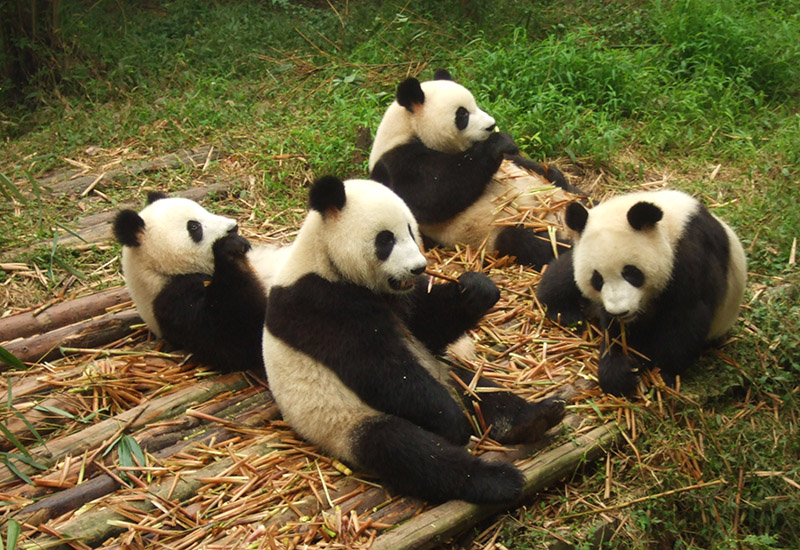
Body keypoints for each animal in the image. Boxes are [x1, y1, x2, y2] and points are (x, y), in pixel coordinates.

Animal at [113, 192, 286, 373]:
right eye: (194, 227)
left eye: (205, 211)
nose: (233, 227)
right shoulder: (173, 304)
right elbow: (237, 336)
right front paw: (229, 248)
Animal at [263, 175, 565, 504]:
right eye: (385, 240)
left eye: (410, 229)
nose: (419, 267)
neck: (324, 257)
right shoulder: (322, 304)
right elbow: (381, 368)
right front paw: (454, 422)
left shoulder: (400, 299)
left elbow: (428, 326)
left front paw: (476, 289)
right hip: (343, 423)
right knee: (407, 450)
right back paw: (494, 477)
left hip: (443, 373)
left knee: (477, 387)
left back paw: (535, 416)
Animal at [369, 69, 585, 270]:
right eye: (462, 113)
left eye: (475, 105)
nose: (491, 125)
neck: (408, 129)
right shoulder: (398, 165)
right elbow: (433, 195)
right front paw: (498, 142)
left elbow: (524, 163)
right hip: (500, 230)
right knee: (528, 241)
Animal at [536, 189, 747, 397]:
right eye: (597, 279)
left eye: (631, 272)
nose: (620, 311)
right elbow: (617, 333)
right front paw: (620, 372)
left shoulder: (692, 258)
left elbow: (686, 319)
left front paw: (661, 373)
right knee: (562, 276)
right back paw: (566, 314)